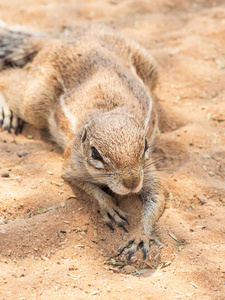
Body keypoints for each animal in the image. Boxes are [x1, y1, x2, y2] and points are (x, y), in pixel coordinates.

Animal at [0, 22, 165, 258]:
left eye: (145, 146)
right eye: (95, 153)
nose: (132, 184)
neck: (108, 113)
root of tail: (60, 39)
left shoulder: (147, 170)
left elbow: (156, 197)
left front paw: (140, 235)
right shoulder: (72, 164)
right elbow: (85, 185)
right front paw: (108, 205)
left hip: (149, 65)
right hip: (34, 99)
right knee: (7, 79)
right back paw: (7, 110)